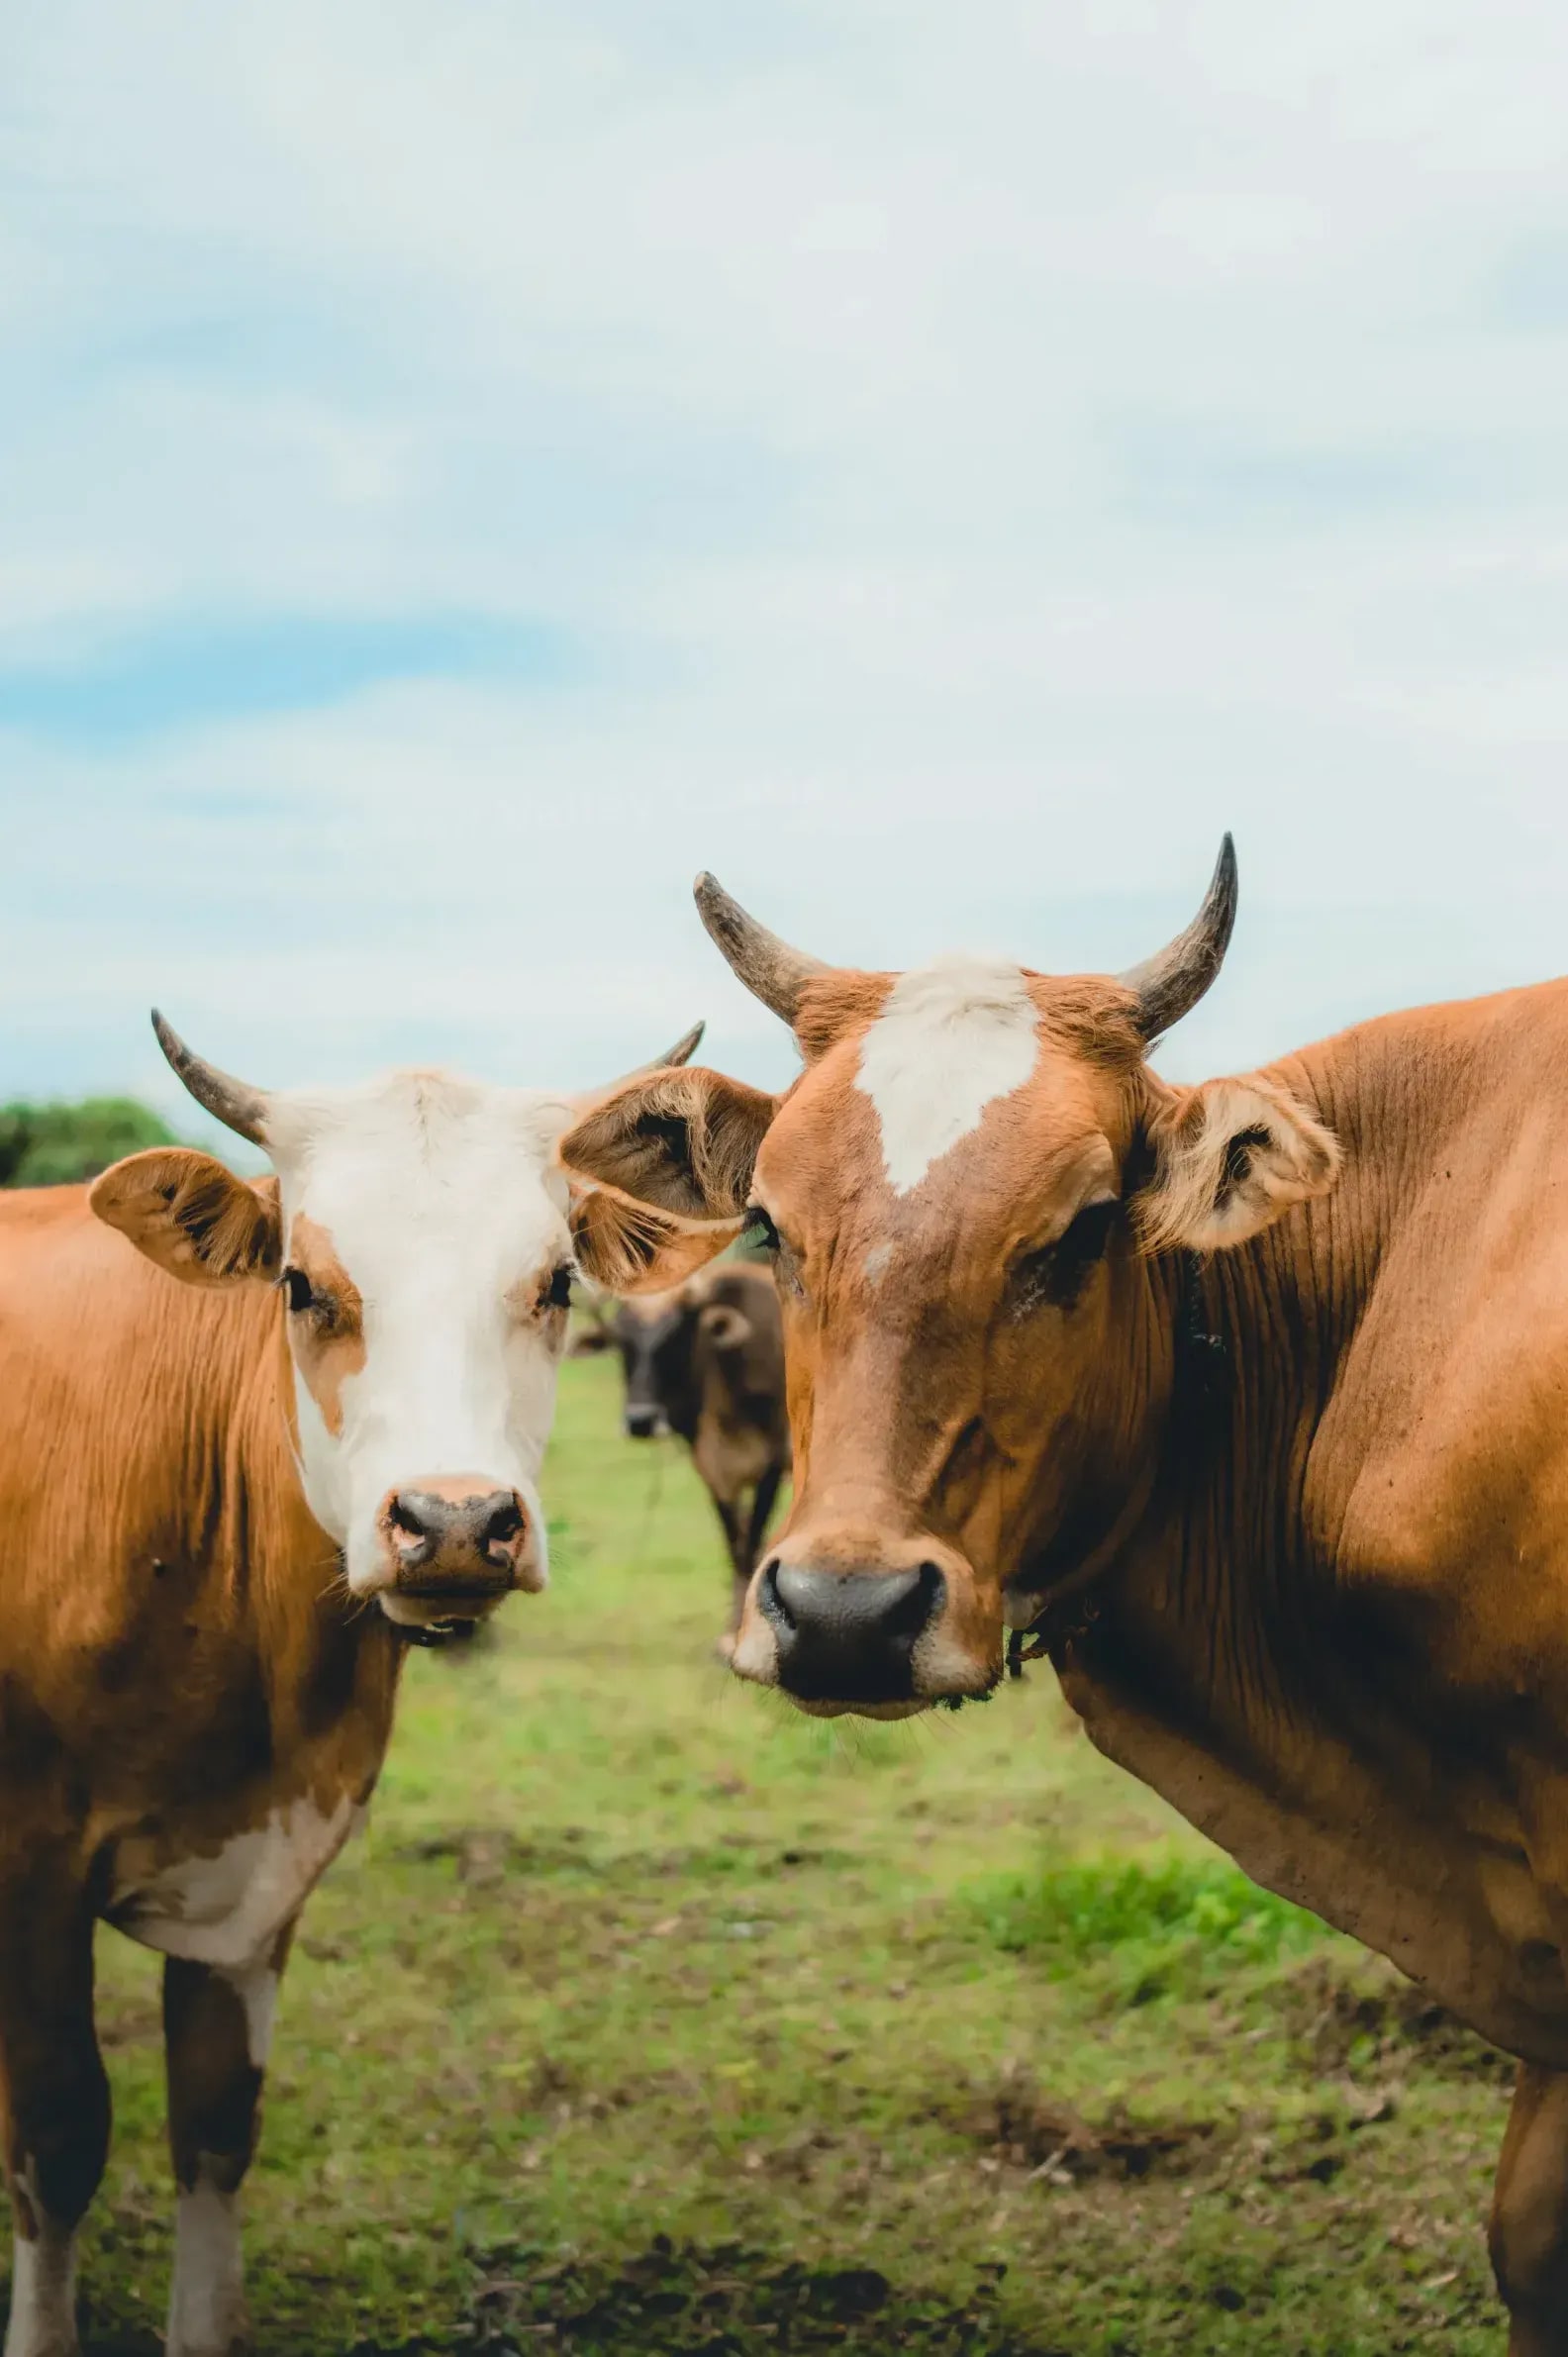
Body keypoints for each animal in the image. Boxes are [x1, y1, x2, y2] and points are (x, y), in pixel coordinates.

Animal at [0, 1010, 700, 2357]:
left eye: (555, 1282)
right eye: (302, 1284)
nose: (456, 1521)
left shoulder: (265, 1871)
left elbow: (215, 2129)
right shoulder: (31, 1873)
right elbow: (57, 2143)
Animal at [611, 1263, 789, 1646]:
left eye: (677, 1333)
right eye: (621, 1338)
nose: (640, 1421)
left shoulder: (774, 1464)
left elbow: (750, 1542)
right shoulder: (712, 1472)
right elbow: (736, 1544)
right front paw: (733, 1629)